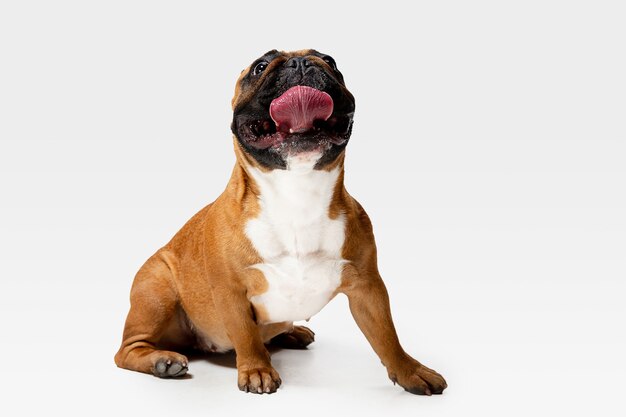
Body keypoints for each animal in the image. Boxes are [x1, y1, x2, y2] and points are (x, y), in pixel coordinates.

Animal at [114, 48, 446, 394]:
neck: (297, 192)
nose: (300, 62)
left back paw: (291, 332)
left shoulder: (368, 287)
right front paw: (257, 370)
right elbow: (245, 334)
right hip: (157, 291)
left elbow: (386, 336)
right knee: (127, 350)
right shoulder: (230, 292)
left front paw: (410, 371)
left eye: (331, 61)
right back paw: (163, 362)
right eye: (260, 66)